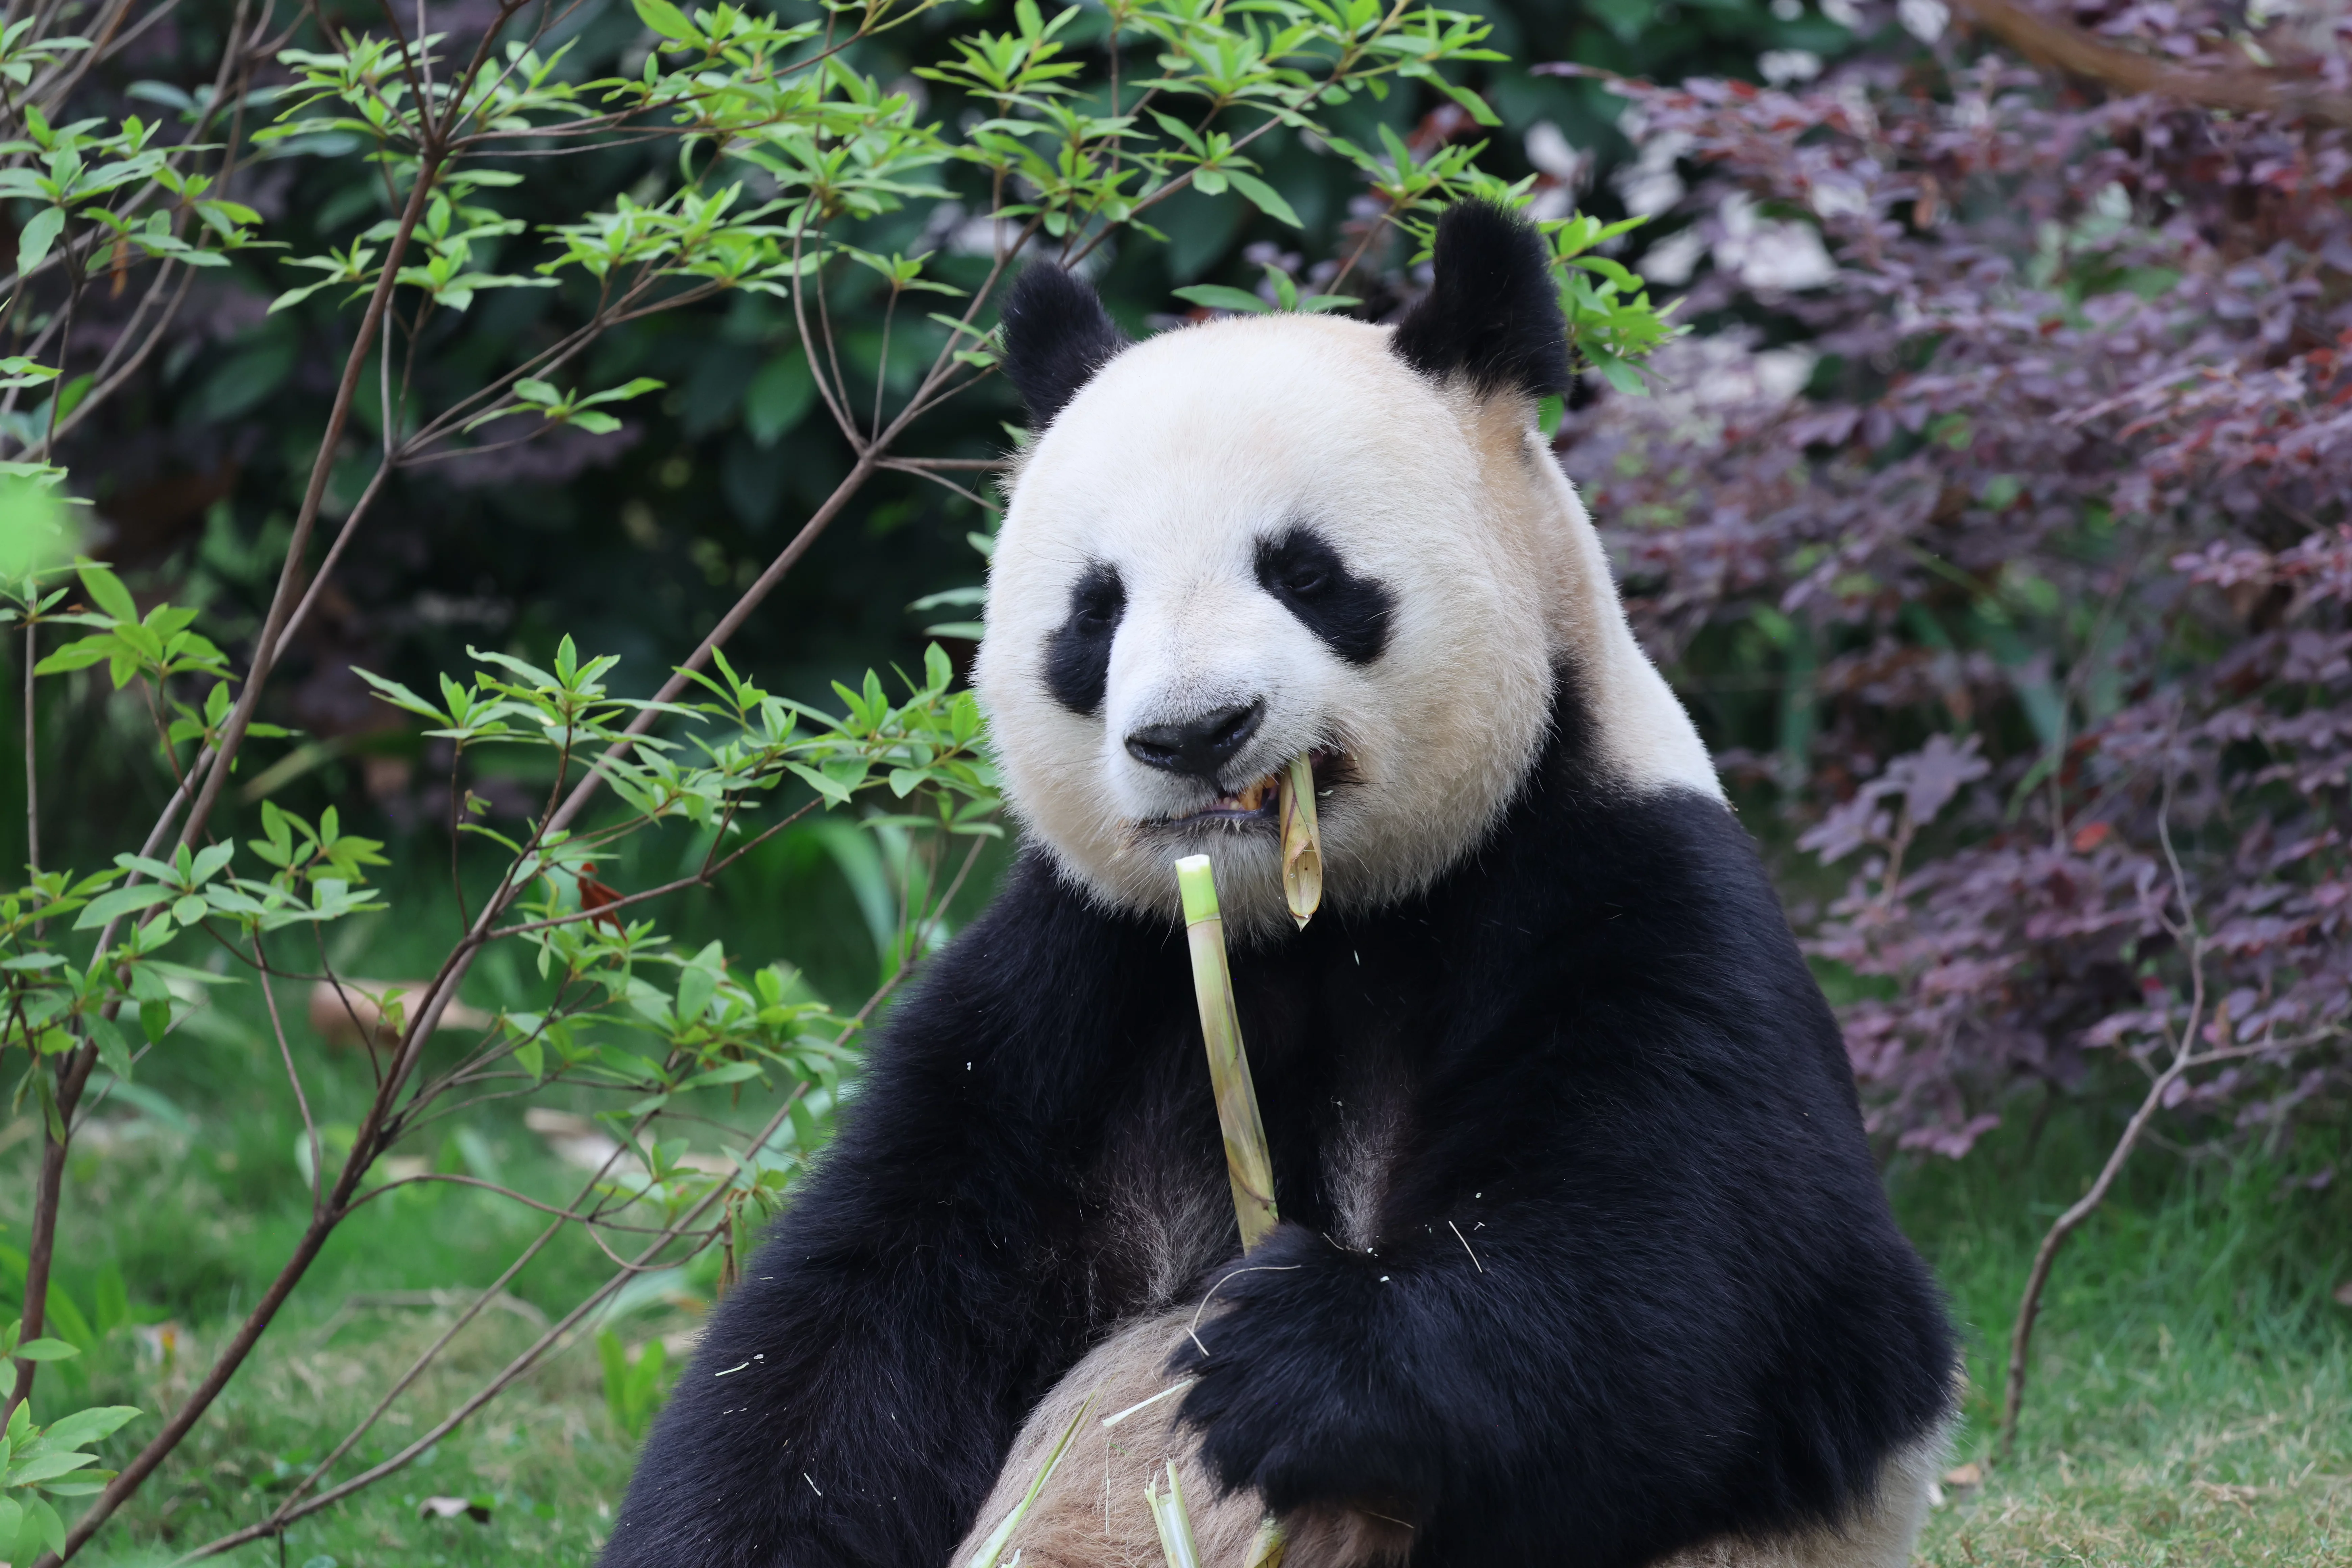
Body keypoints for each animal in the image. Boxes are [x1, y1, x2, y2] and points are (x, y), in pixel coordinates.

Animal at [603, 201, 1956, 1568]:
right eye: (1096, 611)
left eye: (1305, 572)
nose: (1194, 731)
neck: (1311, 924)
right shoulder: (1072, 981)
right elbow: (850, 1326)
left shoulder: (1627, 890)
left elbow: (1709, 1290)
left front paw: (1296, 1350)